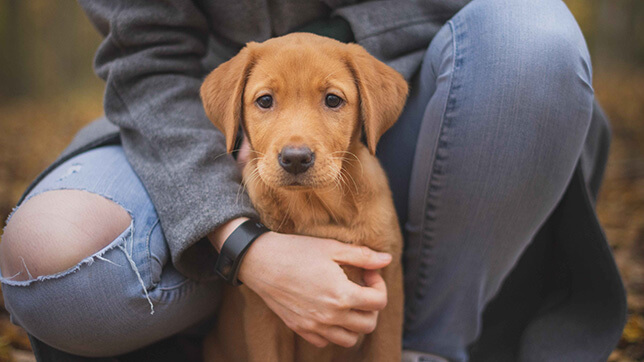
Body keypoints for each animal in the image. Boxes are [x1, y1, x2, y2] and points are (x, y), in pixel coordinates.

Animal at [201, 33, 408, 362]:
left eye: (333, 100)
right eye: (265, 101)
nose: (295, 159)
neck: (316, 209)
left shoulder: (389, 294)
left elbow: (386, 351)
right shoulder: (263, 314)